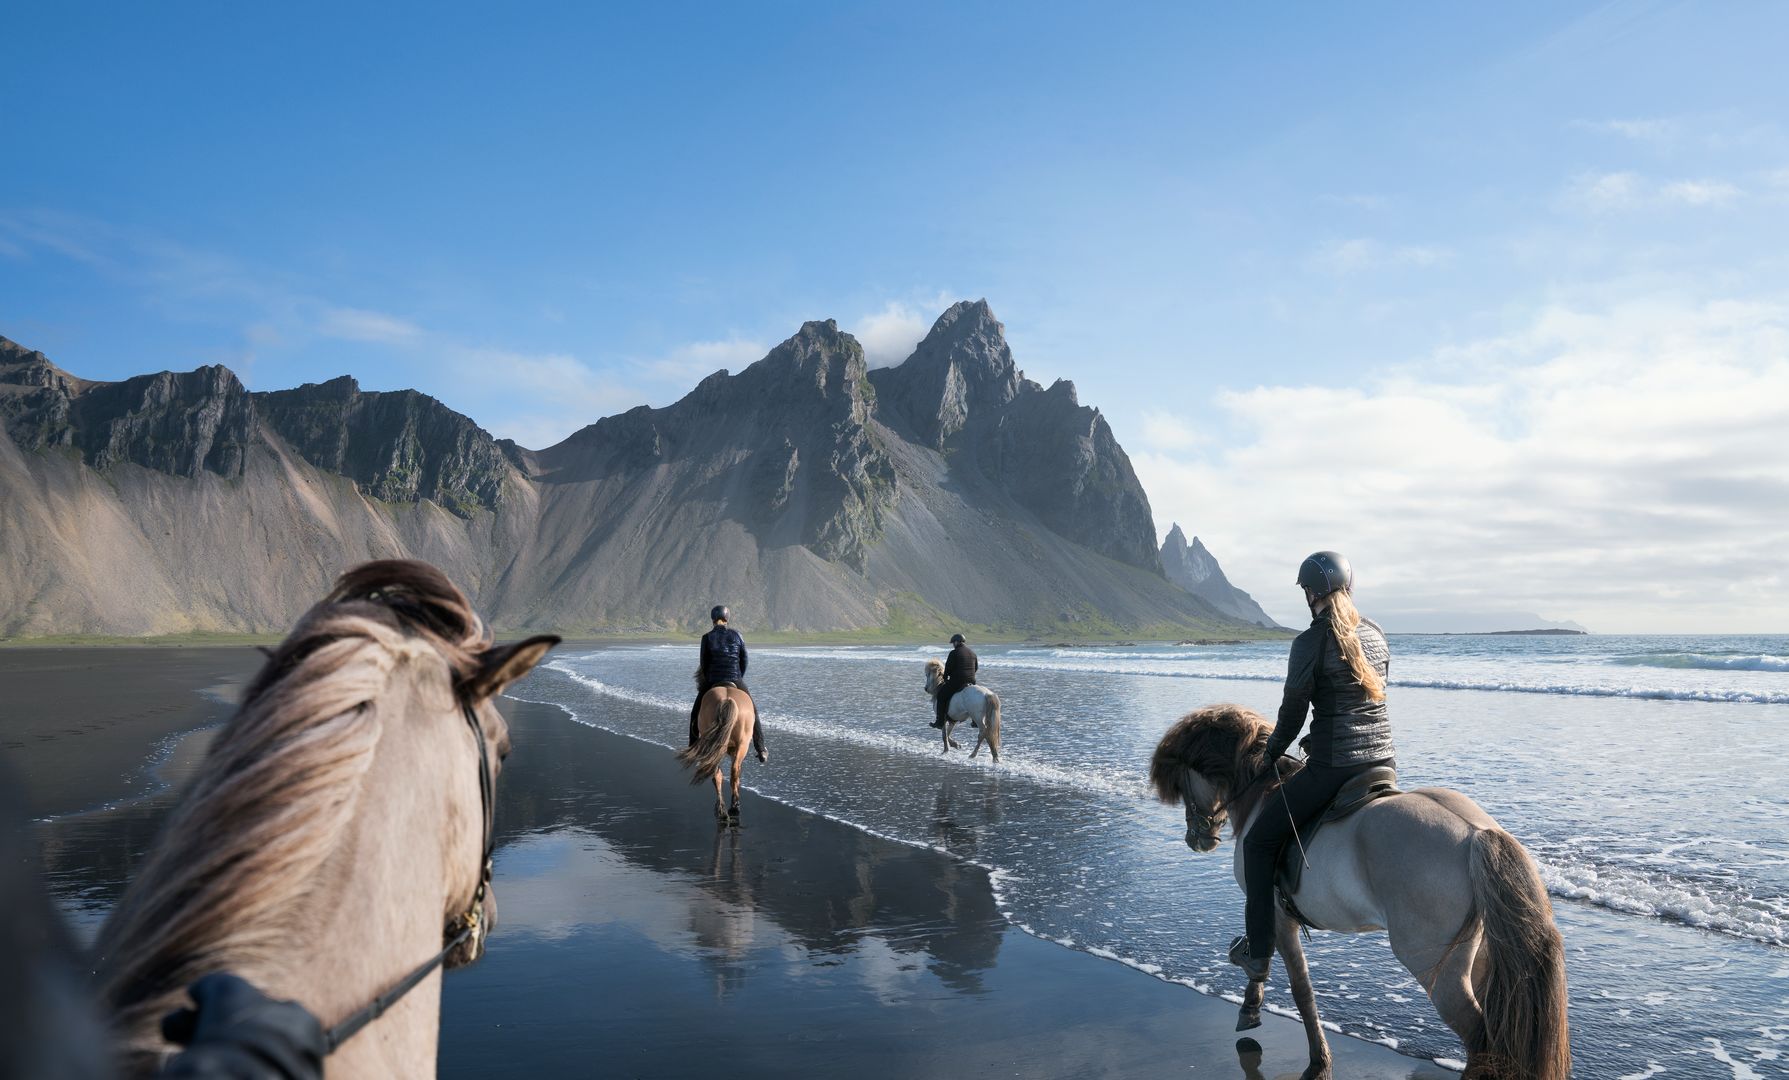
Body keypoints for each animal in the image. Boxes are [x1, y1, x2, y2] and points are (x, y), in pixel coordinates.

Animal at [672, 683, 754, 826]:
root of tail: (727, 700)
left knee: (719, 772)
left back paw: (723, 810)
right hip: (741, 746)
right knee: (731, 772)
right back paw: (732, 808)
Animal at [1152, 704, 1574, 1080]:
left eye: (1184, 781)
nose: (1196, 838)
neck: (1261, 794)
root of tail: (1477, 834)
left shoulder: (1275, 912)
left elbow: (1298, 987)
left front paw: (1309, 1052)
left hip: (1435, 966)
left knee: (1481, 1039)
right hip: (1483, 955)